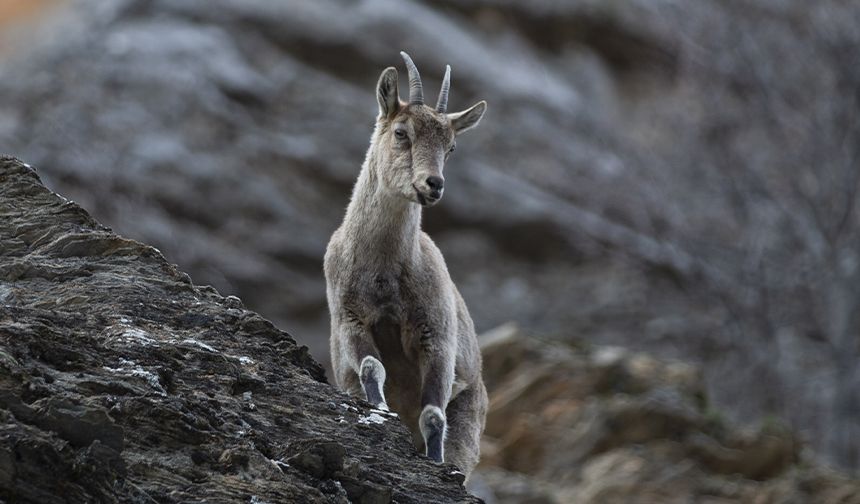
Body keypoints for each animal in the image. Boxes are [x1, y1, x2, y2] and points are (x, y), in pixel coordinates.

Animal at [322, 53, 488, 478]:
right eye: (401, 132)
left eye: (451, 147)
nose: (433, 184)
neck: (385, 268)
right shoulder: (350, 318)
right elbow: (371, 368)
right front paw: (380, 409)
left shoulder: (437, 338)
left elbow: (433, 415)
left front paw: (435, 461)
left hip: (469, 415)